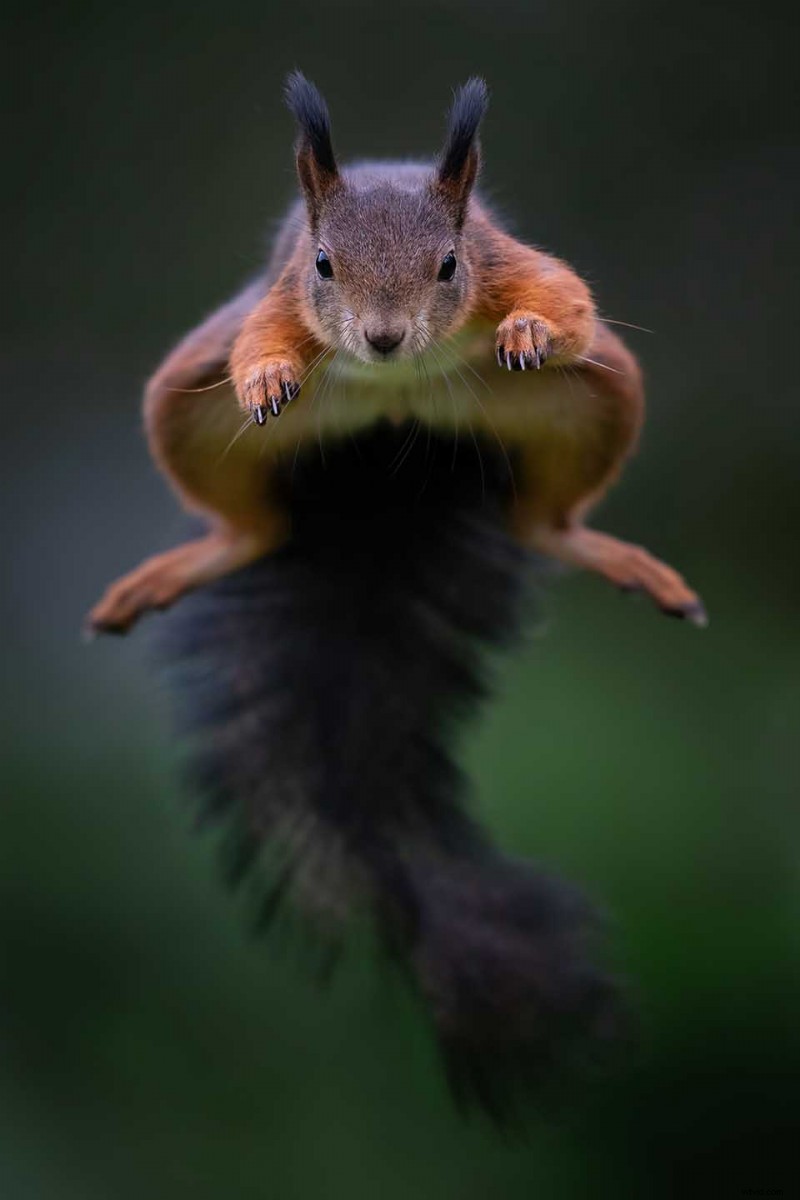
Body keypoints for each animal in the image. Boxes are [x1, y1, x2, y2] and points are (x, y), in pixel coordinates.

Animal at [88, 74, 706, 1121]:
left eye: (451, 264)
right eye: (323, 264)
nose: (380, 339)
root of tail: (392, 427)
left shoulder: (513, 266)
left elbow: (566, 300)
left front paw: (532, 328)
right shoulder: (278, 298)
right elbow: (264, 342)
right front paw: (269, 372)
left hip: (600, 400)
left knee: (546, 519)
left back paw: (604, 549)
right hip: (181, 404)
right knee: (253, 526)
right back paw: (191, 559)